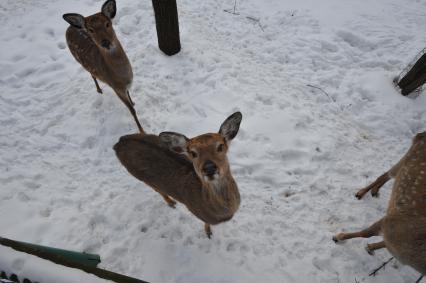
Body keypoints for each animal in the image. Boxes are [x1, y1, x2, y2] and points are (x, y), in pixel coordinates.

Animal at [62, 0, 143, 133]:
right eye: (90, 29)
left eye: (107, 24)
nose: (105, 42)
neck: (122, 77)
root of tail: (69, 27)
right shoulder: (115, 87)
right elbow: (131, 110)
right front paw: (142, 131)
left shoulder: (126, 85)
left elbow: (130, 96)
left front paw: (134, 102)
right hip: (80, 62)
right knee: (92, 75)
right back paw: (99, 90)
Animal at [113, 112, 241, 239]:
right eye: (193, 153)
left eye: (220, 146)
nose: (209, 168)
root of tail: (118, 143)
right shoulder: (198, 213)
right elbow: (206, 223)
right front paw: (208, 233)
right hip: (138, 175)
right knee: (156, 189)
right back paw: (171, 203)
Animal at [332, 133, 426, 278]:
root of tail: (421, 134)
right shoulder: (390, 222)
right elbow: (365, 233)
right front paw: (338, 237)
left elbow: (383, 243)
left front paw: (370, 248)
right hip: (407, 157)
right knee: (385, 174)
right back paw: (361, 193)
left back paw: (374, 191)